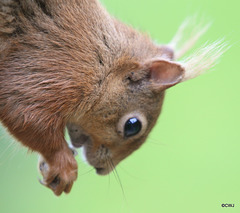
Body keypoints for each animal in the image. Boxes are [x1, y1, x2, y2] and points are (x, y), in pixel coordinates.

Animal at [0, 0, 226, 196]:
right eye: (132, 125)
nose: (102, 170)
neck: (106, 62)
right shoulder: (54, 69)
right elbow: (23, 114)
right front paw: (64, 166)